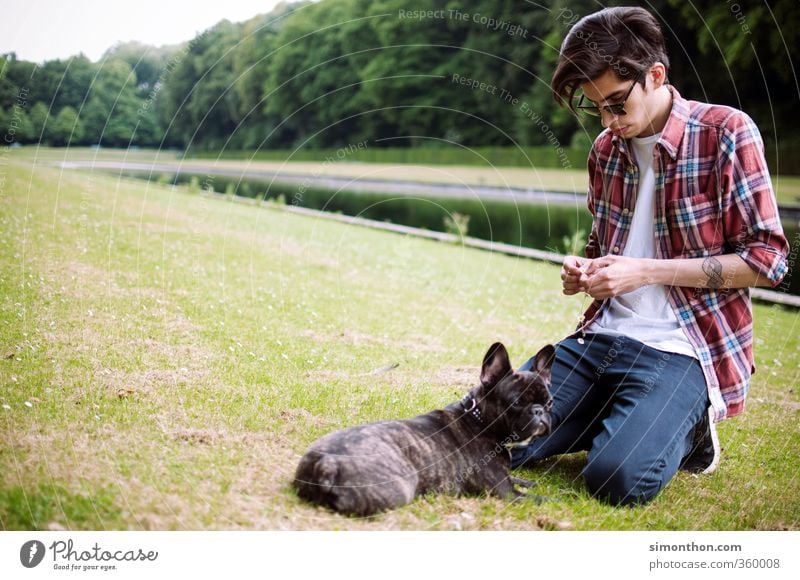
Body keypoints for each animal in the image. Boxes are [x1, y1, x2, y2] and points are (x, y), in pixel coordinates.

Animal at [296, 342, 556, 516]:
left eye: (550, 402)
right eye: (516, 403)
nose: (539, 412)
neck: (479, 420)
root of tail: (326, 463)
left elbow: (518, 478)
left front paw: (529, 481)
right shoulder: (504, 492)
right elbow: (541, 499)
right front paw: (558, 497)